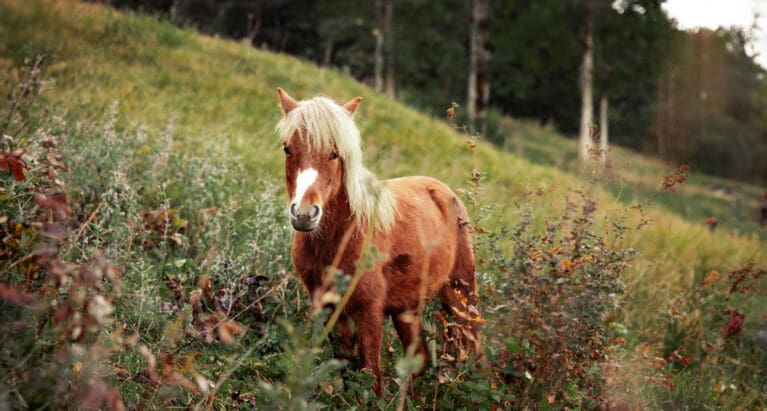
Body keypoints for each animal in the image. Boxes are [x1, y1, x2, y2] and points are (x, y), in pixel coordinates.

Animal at [274, 87, 480, 396]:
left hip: (460, 295)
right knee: (420, 357)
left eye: (335, 154)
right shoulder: (327, 306)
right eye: (288, 148)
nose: (304, 214)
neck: (340, 240)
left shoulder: (369, 311)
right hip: (408, 309)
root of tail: (446, 192)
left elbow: (371, 376)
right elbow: (346, 365)